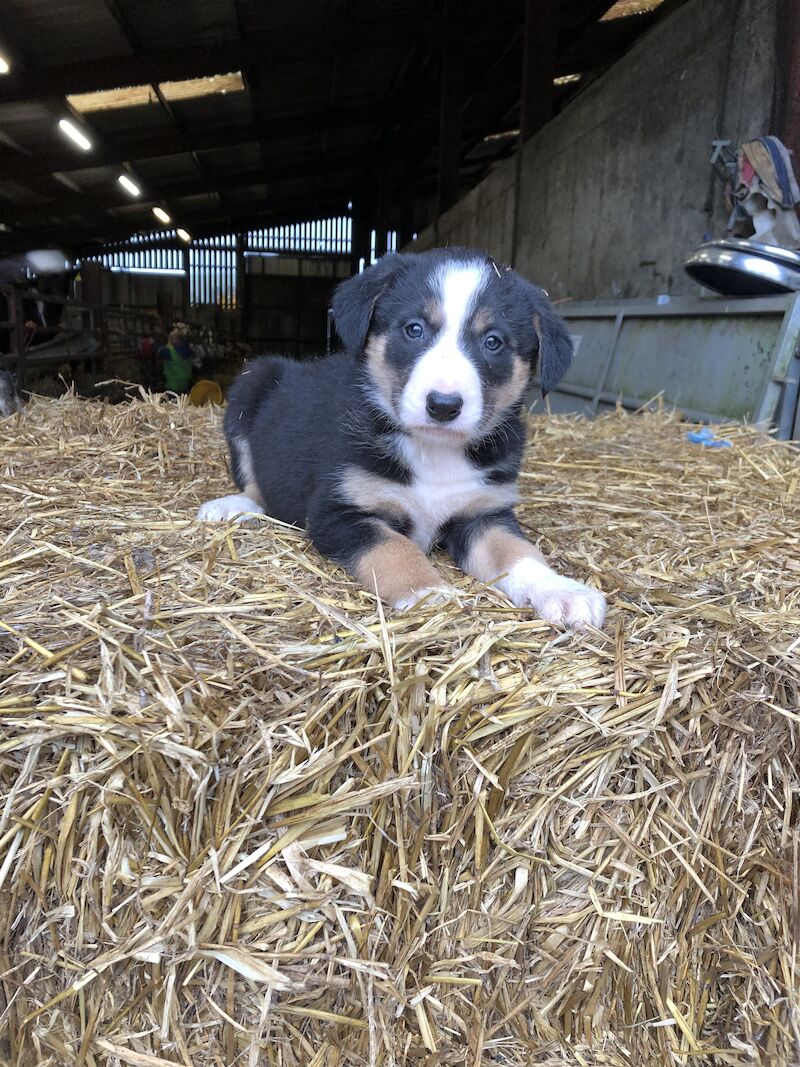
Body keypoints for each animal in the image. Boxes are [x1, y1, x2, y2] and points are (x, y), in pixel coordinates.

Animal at [200, 248, 605, 627]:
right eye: (414, 329)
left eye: (493, 342)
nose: (443, 405)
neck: (435, 450)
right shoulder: (338, 511)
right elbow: (394, 548)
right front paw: (428, 593)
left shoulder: (485, 513)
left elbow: (517, 552)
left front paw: (562, 590)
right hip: (251, 383)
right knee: (255, 483)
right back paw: (230, 506)